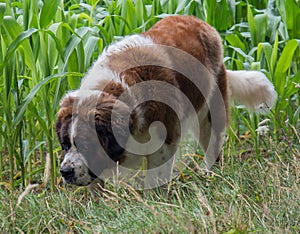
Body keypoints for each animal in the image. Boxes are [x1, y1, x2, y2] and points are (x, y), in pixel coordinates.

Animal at [54, 15, 276, 188]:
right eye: (65, 144)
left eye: (86, 145)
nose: (65, 171)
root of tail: (200, 23)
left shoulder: (164, 141)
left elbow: (157, 175)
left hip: (210, 113)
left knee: (212, 145)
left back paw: (212, 175)